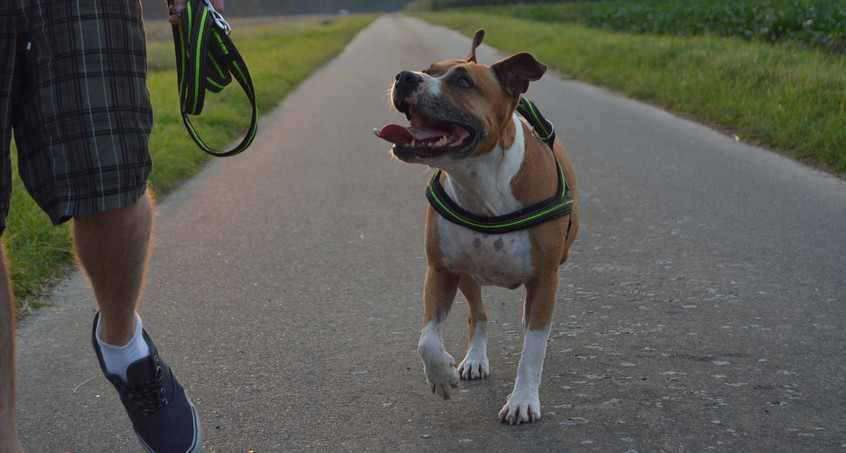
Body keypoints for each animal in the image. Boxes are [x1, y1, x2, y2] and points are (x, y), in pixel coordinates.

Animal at [376, 28, 580, 424]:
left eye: (462, 81)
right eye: (428, 70)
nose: (405, 77)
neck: (481, 184)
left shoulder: (545, 280)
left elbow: (532, 349)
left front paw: (522, 400)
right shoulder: (441, 270)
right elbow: (427, 339)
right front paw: (441, 375)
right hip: (469, 275)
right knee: (478, 314)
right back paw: (474, 360)